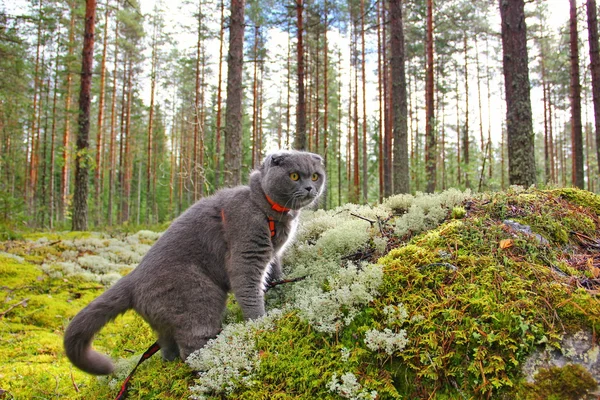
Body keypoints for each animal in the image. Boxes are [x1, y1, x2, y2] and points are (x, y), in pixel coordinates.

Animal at [63, 150, 326, 376]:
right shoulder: (246, 250)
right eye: (294, 176)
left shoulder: (273, 254)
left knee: (167, 345)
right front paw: (260, 322)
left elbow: (275, 272)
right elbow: (250, 290)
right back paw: (210, 364)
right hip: (198, 295)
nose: (309, 187)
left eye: (315, 175)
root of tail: (132, 279)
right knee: (190, 347)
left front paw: (281, 287)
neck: (269, 209)